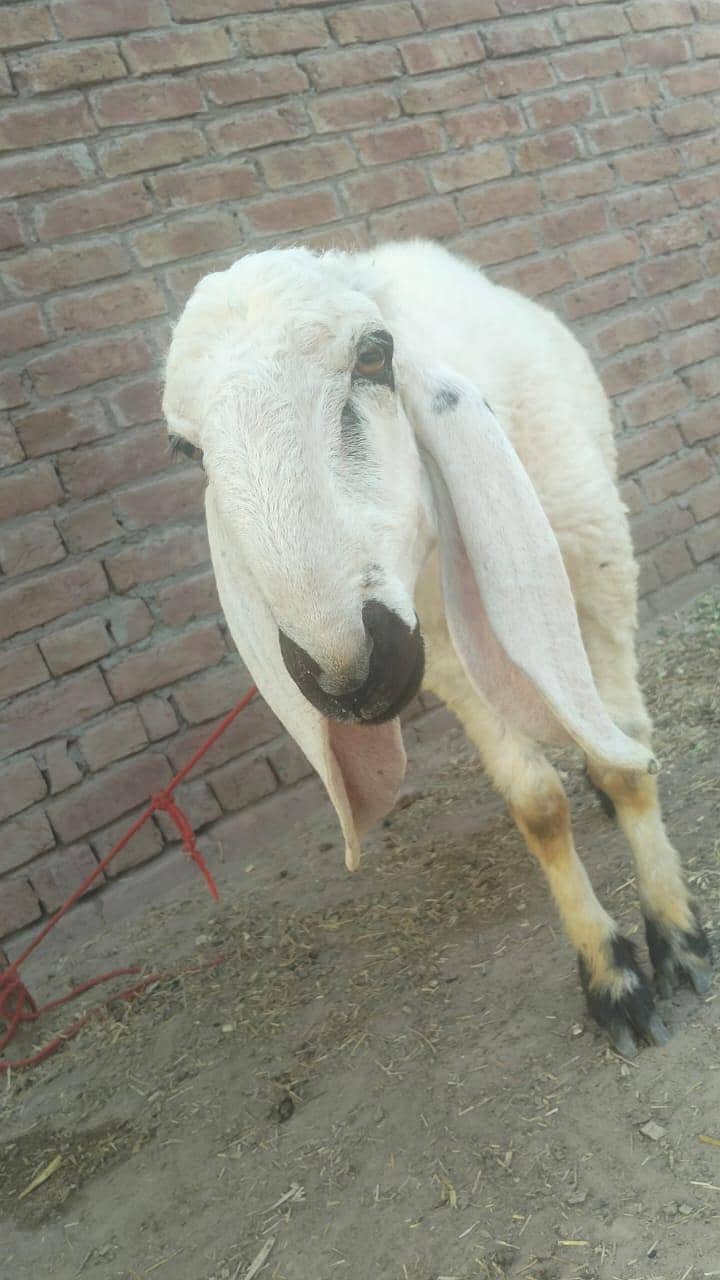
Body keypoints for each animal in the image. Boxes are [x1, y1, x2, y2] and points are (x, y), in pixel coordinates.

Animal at [163, 238, 711, 1055]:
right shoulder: (443, 653)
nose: (345, 675)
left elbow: (626, 761)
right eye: (184, 445)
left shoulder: (599, 570)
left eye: (374, 353)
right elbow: (537, 806)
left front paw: (677, 936)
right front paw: (611, 977)